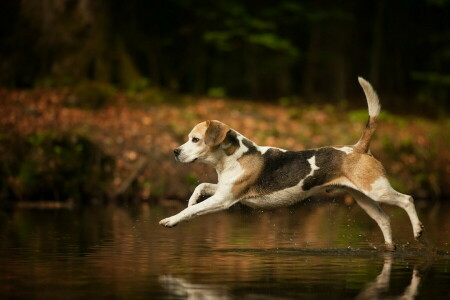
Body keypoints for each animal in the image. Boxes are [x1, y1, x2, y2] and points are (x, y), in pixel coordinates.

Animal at [160, 77, 424, 251]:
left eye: (195, 139)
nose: (175, 151)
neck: (234, 156)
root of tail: (358, 148)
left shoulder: (225, 199)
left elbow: (191, 211)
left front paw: (171, 220)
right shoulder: (225, 189)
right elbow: (201, 187)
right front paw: (192, 199)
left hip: (377, 190)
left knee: (407, 199)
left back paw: (418, 230)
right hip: (364, 198)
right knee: (384, 219)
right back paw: (389, 248)